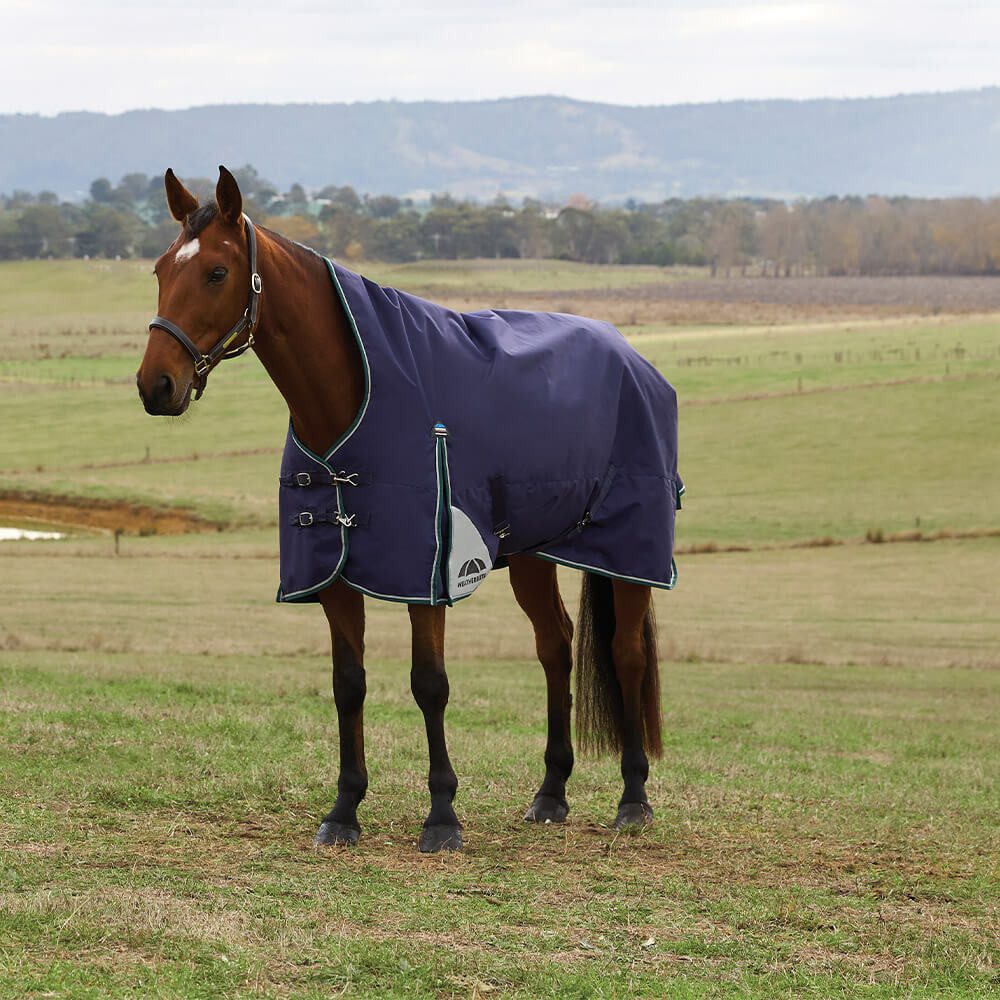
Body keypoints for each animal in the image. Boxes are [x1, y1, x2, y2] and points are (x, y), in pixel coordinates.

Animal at [136, 166, 681, 853]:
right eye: (160, 269)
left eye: (215, 272)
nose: (155, 385)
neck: (356, 397)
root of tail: (633, 358)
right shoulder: (335, 574)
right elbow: (348, 685)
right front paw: (344, 811)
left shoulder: (428, 574)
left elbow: (430, 685)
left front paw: (442, 816)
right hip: (533, 552)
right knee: (555, 646)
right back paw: (550, 793)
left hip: (629, 551)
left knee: (625, 654)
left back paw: (633, 799)